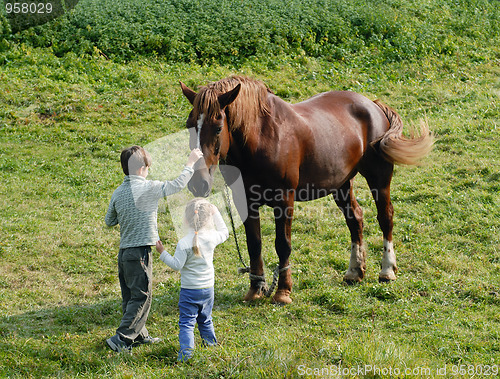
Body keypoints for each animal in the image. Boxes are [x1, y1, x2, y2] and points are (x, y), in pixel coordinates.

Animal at [181, 75, 434, 304]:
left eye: (218, 127)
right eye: (189, 126)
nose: (198, 182)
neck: (262, 138)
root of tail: (372, 104)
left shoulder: (284, 200)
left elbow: (283, 245)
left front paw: (283, 292)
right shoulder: (244, 200)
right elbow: (254, 244)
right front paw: (256, 289)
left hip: (379, 179)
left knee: (385, 217)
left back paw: (387, 270)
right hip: (341, 183)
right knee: (355, 219)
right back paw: (355, 271)